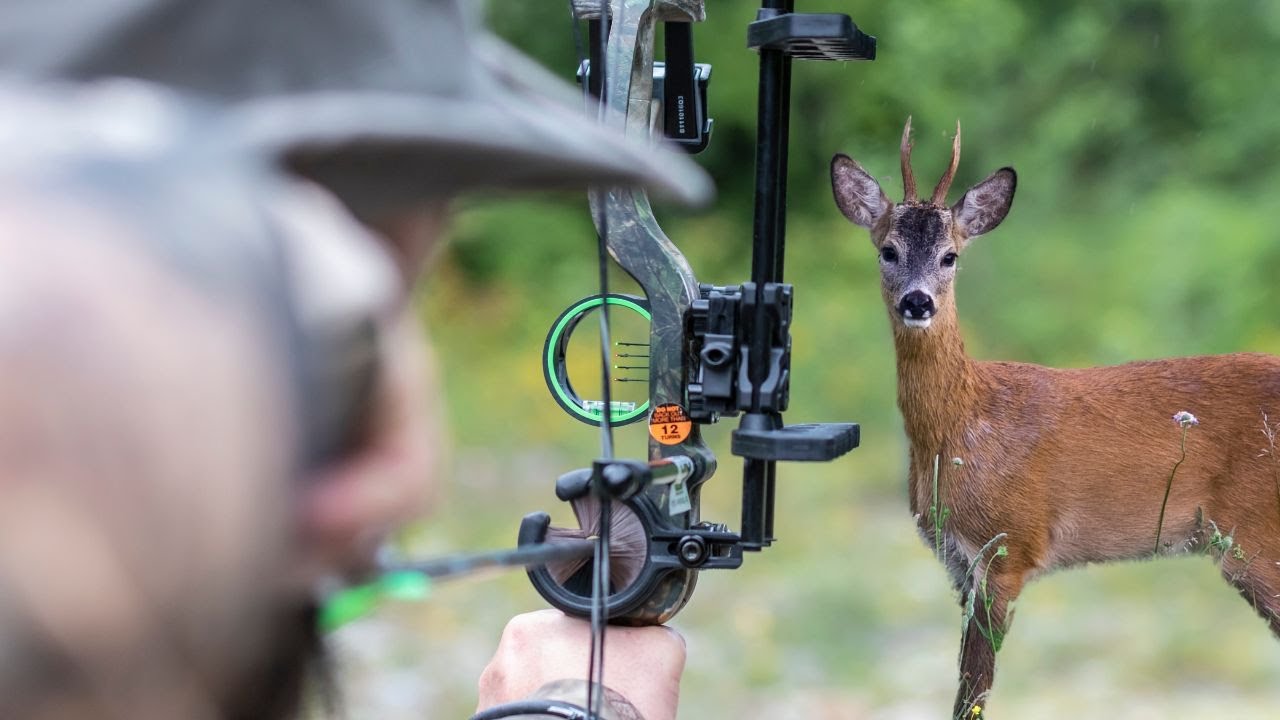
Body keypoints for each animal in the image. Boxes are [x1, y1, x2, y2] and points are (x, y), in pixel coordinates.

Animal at [830, 118, 1280, 719]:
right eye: (887, 249)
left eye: (950, 256)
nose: (917, 303)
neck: (959, 431)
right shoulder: (957, 562)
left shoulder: (1008, 547)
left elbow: (973, 694)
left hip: (1256, 532)